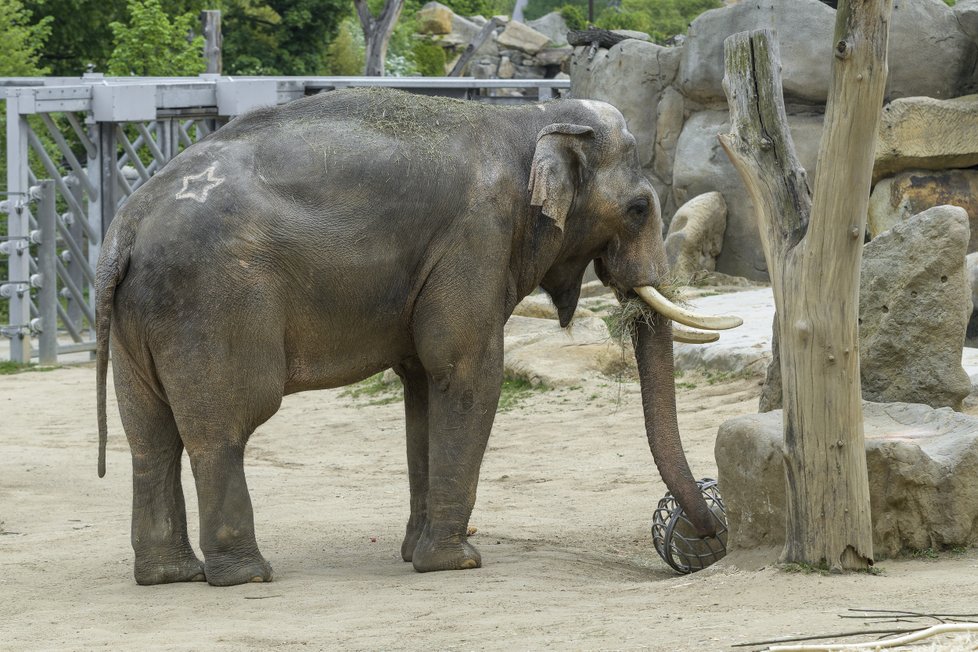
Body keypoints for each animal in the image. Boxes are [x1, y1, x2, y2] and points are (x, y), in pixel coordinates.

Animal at [95, 85, 736, 584]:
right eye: (637, 210)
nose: (708, 535)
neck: (530, 118)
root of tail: (126, 225)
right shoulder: (476, 236)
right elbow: (466, 369)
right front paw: (457, 563)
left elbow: (424, 385)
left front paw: (414, 554)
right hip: (212, 303)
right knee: (224, 427)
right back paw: (247, 574)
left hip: (141, 316)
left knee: (150, 437)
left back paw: (168, 574)